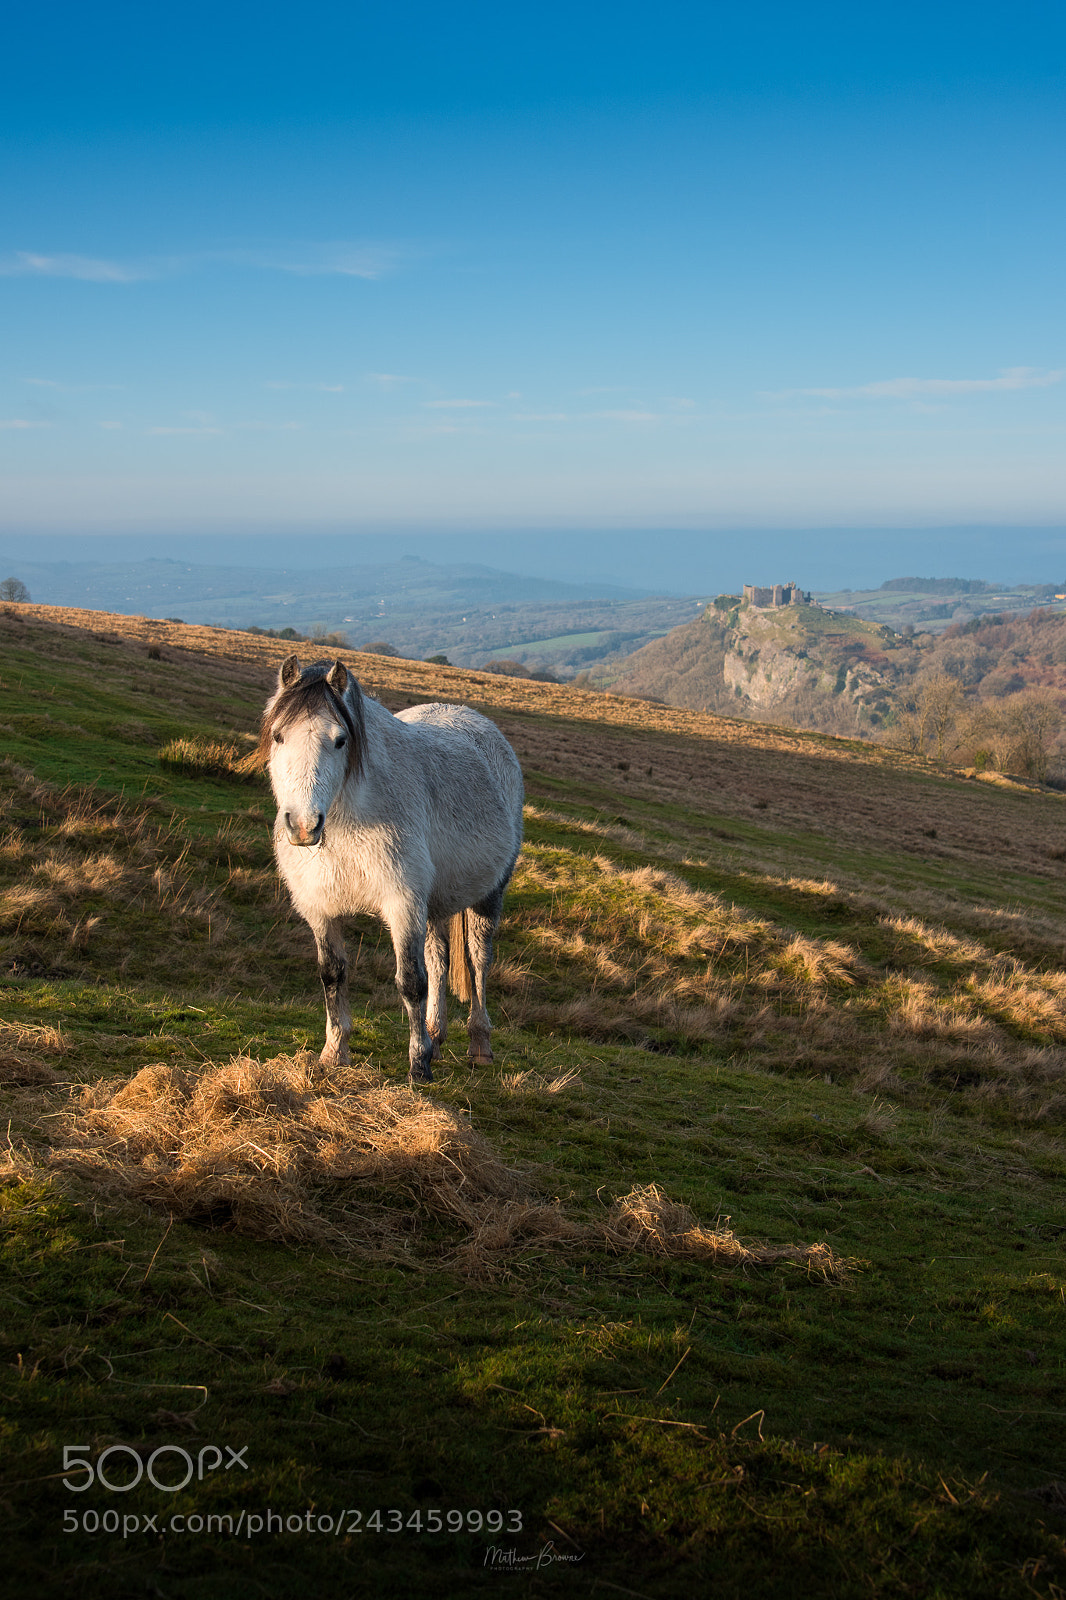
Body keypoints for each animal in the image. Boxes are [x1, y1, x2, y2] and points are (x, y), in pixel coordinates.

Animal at [259, 655, 524, 1084]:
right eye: (279, 736)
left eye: (340, 740)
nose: (302, 825)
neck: (350, 818)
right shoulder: (320, 910)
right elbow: (332, 975)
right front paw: (334, 1052)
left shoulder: (402, 905)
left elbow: (411, 982)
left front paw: (418, 1065)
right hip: (435, 904)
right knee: (438, 958)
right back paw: (436, 1033)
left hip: (488, 895)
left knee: (478, 961)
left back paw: (479, 1044)